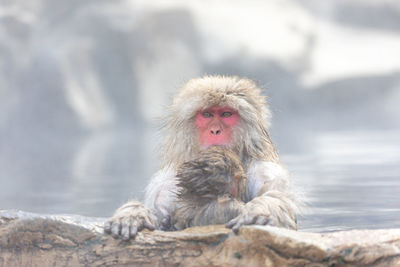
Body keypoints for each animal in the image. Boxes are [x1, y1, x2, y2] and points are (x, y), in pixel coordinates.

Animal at [104, 75, 300, 241]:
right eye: (207, 114)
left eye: (226, 114)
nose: (215, 130)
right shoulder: (165, 185)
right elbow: (159, 219)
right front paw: (132, 215)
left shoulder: (267, 172)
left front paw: (259, 210)